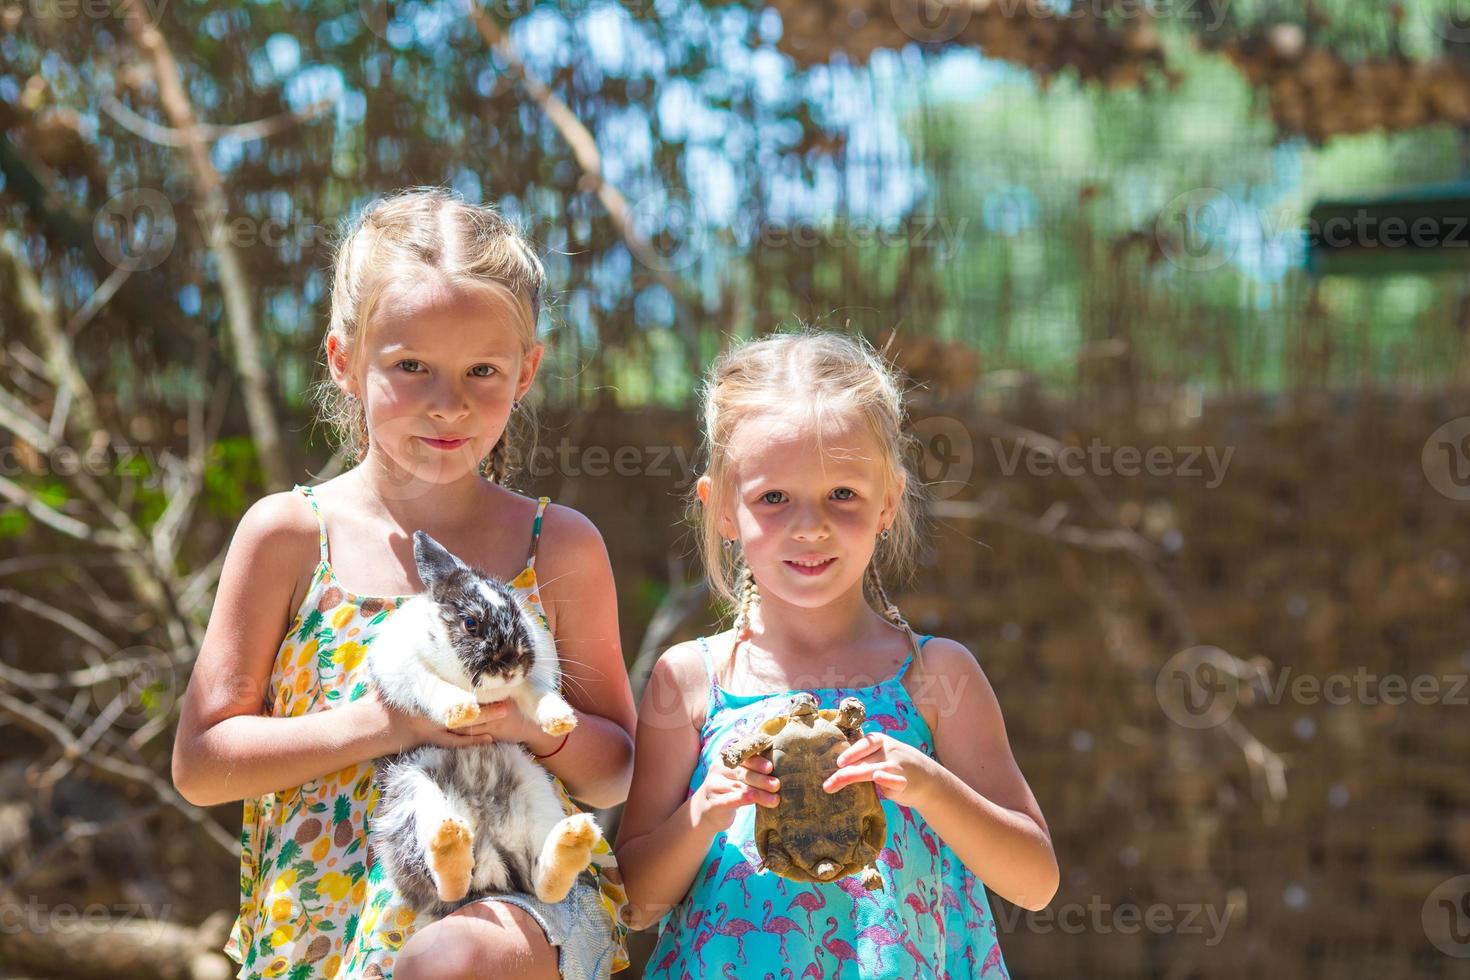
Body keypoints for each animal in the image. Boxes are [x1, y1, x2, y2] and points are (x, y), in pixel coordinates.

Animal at [364, 531, 599, 916]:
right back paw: (450, 841)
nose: (510, 663)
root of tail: (491, 863)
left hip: (536, 792)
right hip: (410, 800)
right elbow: (432, 685)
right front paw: (462, 711)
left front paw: (562, 721)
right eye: (470, 624)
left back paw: (573, 838)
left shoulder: (527, 685)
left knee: (542, 883)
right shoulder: (405, 668)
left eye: (517, 612)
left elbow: (536, 696)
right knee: (446, 884)